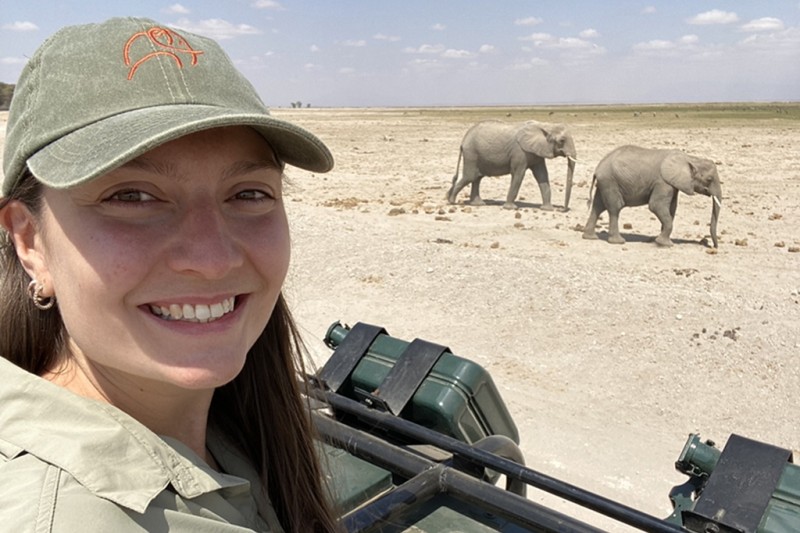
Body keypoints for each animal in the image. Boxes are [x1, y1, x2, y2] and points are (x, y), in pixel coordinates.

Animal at [580, 144, 724, 246]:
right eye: (709, 179)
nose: (713, 247)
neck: (690, 158)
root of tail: (597, 169)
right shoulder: (663, 182)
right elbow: (656, 206)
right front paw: (664, 244)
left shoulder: (672, 184)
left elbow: (671, 209)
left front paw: (658, 239)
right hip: (610, 182)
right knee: (615, 208)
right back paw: (618, 242)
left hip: (605, 183)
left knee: (598, 207)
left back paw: (590, 237)